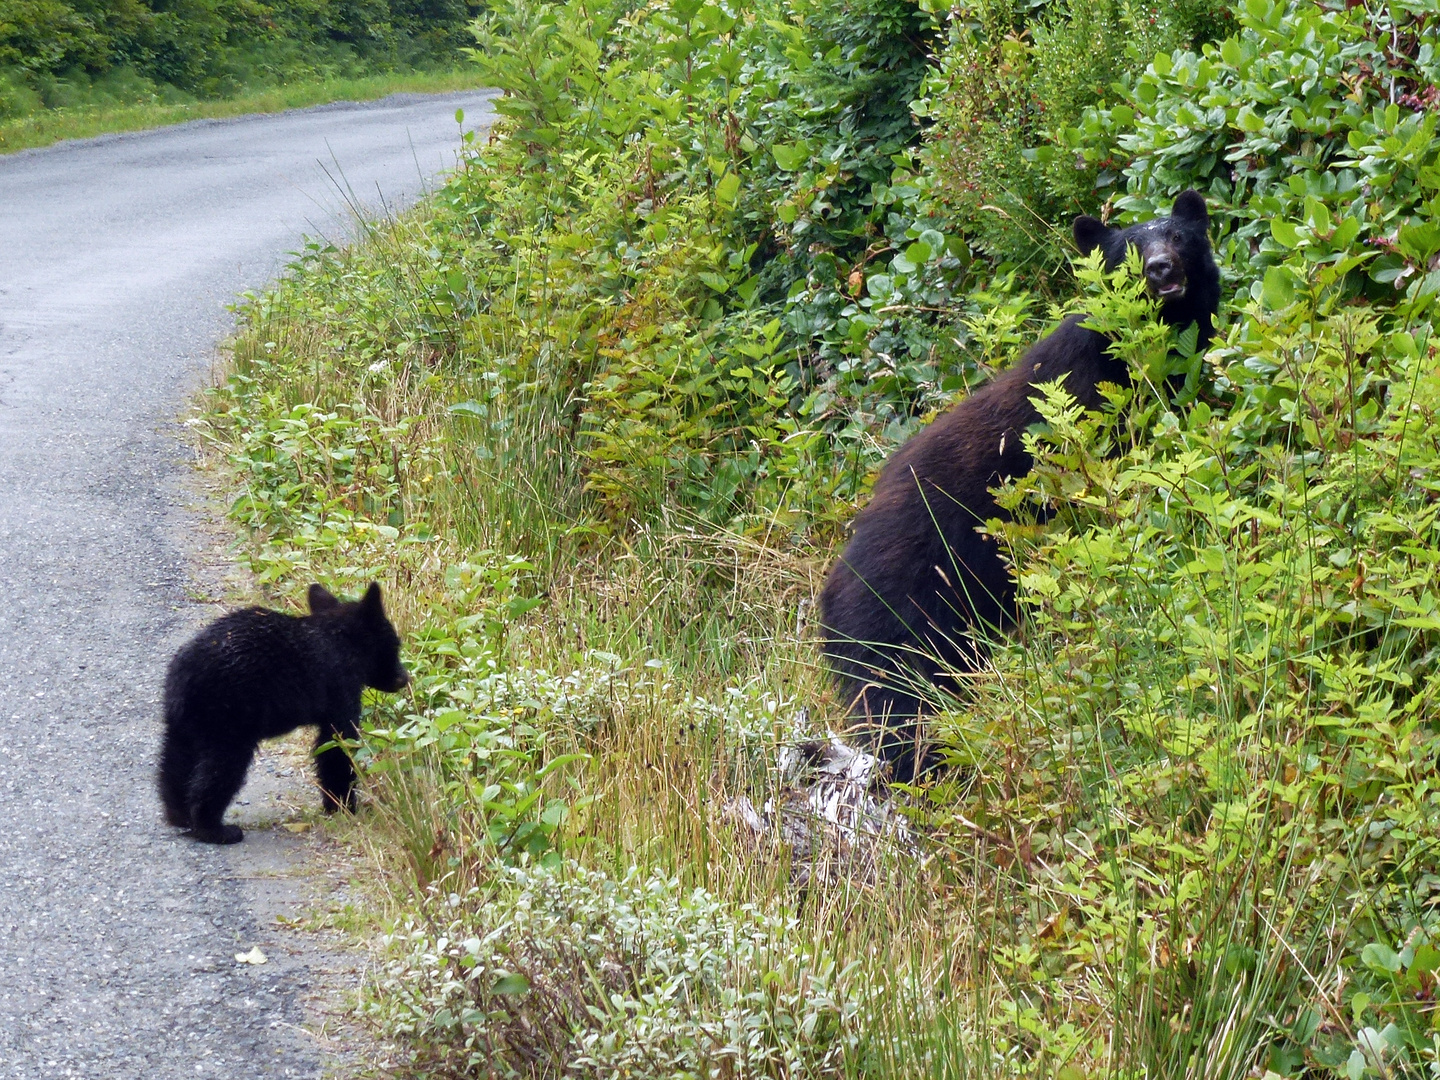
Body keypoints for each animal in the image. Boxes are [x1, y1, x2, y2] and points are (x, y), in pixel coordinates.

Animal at [159, 584, 408, 846]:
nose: (405, 677)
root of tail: (186, 676)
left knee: (176, 760)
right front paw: (343, 805)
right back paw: (214, 828)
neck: (340, 638)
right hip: (229, 717)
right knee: (221, 767)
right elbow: (337, 743)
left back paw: (178, 813)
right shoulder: (340, 685)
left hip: (184, 719)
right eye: (395, 644)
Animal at [817, 185, 1221, 777]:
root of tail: (829, 595)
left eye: (1178, 235)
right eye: (1126, 250)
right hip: (906, 614)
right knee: (897, 700)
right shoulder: (1090, 416)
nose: (1160, 268)